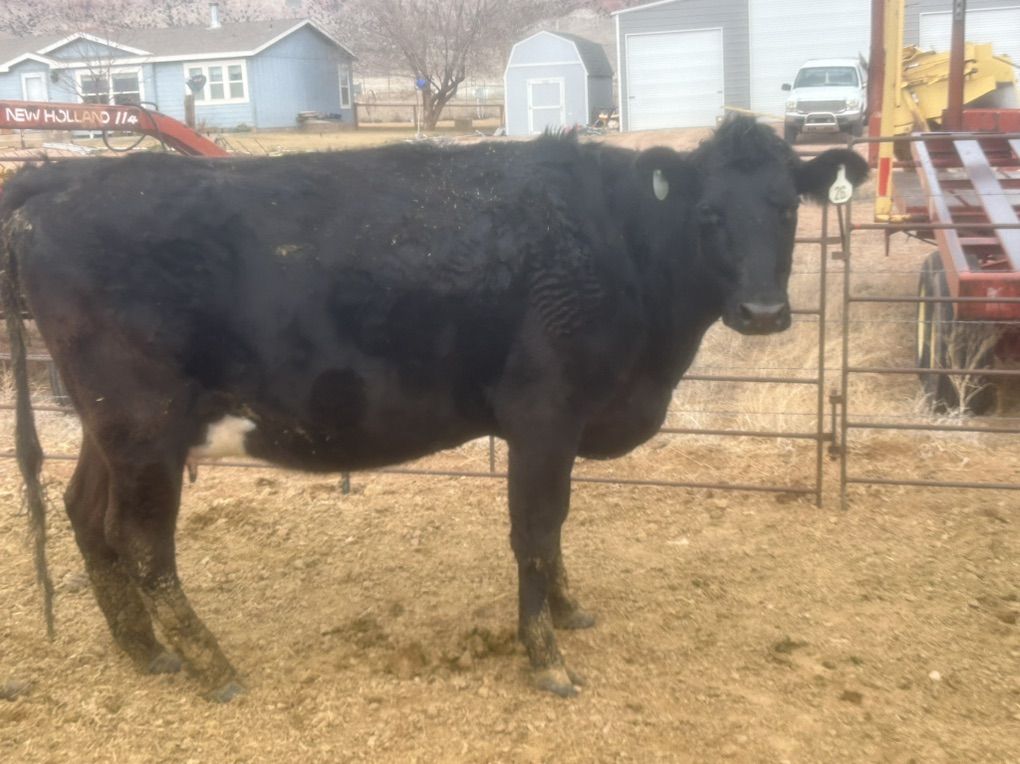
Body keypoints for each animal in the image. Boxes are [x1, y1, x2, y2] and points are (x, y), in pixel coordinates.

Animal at [1, 116, 867, 701]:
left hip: (111, 426)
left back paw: (144, 651)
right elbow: (535, 531)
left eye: (788, 208)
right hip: (143, 421)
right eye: (708, 215)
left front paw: (569, 612)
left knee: (86, 514)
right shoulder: (544, 414)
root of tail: (66, 178)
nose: (762, 312)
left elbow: (555, 531)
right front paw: (547, 657)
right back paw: (214, 667)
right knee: (143, 543)